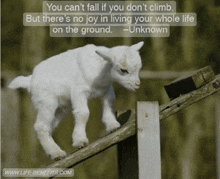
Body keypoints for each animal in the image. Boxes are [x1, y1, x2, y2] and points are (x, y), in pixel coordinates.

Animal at [8, 41, 144, 160]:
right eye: (123, 70)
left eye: (138, 69)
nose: (137, 85)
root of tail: (30, 80)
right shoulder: (79, 92)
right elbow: (83, 113)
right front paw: (80, 141)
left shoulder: (106, 90)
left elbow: (110, 102)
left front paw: (112, 125)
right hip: (47, 102)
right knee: (40, 125)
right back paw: (57, 153)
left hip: (61, 108)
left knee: (49, 126)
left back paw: (53, 152)